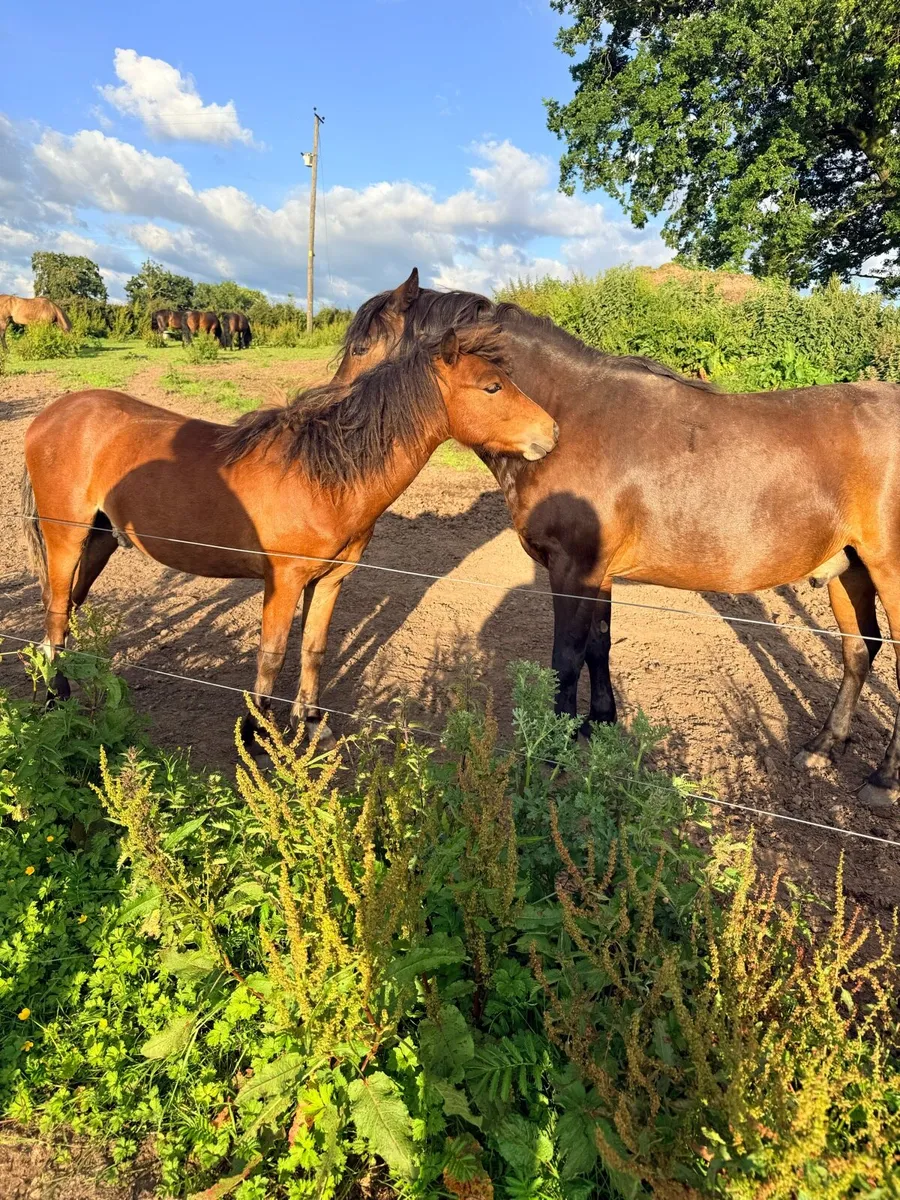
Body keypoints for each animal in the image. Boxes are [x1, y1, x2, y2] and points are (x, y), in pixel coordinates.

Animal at [21, 325, 557, 752]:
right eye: (492, 386)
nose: (551, 432)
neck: (323, 476)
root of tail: (51, 415)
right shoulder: (283, 580)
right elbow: (272, 655)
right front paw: (257, 733)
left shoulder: (330, 580)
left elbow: (313, 648)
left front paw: (311, 720)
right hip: (65, 540)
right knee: (55, 614)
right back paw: (52, 703)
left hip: (100, 540)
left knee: (66, 613)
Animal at [334, 269, 900, 811]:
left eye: (361, 349)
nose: (333, 416)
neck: (570, 421)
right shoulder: (598, 574)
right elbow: (598, 646)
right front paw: (598, 724)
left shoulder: (572, 568)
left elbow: (565, 658)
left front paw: (551, 751)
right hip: (848, 569)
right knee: (859, 650)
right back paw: (825, 746)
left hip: (887, 572)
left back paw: (883, 781)